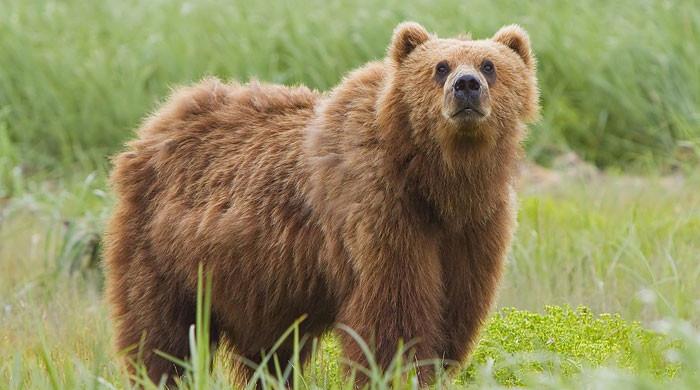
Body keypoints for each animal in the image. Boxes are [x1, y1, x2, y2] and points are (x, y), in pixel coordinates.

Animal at [104, 22, 540, 386]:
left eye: (489, 65)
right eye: (440, 66)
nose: (466, 85)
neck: (438, 182)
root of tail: (157, 121)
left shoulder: (474, 228)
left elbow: (455, 309)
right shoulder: (380, 211)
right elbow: (393, 313)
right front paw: (398, 372)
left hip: (257, 282)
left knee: (269, 351)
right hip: (164, 251)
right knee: (161, 333)